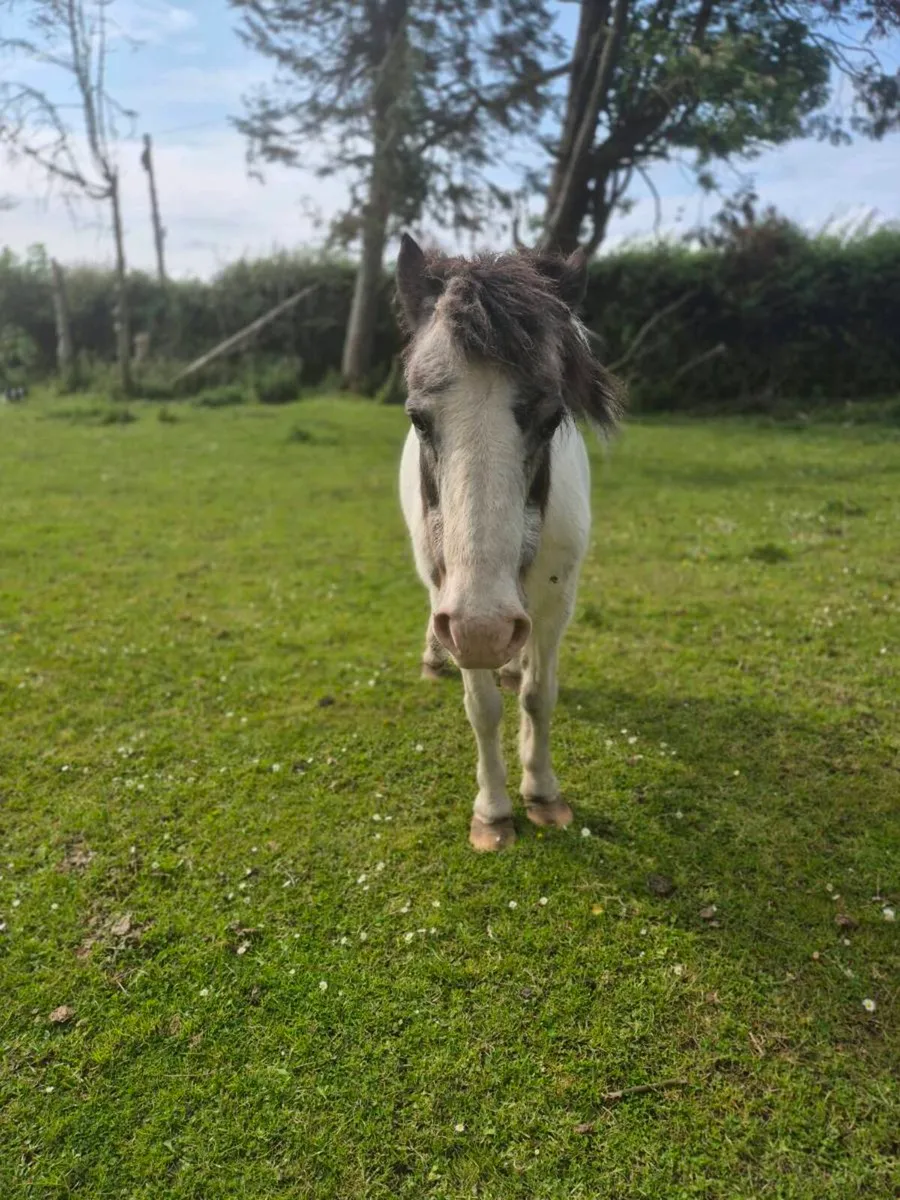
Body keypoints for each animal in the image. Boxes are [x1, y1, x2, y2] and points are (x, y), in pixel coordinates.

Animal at [396, 233, 622, 851]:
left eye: (551, 419)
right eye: (419, 419)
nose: (485, 630)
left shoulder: (556, 602)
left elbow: (538, 696)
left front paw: (542, 793)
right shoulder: (452, 601)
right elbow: (482, 706)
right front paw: (493, 812)